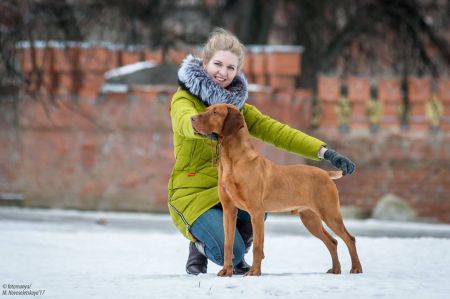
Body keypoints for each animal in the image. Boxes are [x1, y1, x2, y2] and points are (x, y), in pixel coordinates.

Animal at [190, 104, 362, 278]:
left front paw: (254, 272)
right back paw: (336, 269)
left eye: (215, 112)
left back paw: (356, 268)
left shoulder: (256, 212)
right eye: (207, 109)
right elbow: (228, 244)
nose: (192, 118)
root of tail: (326, 174)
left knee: (349, 238)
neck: (232, 161)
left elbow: (257, 245)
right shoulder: (229, 210)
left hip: (330, 214)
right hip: (310, 218)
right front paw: (227, 271)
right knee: (332, 241)